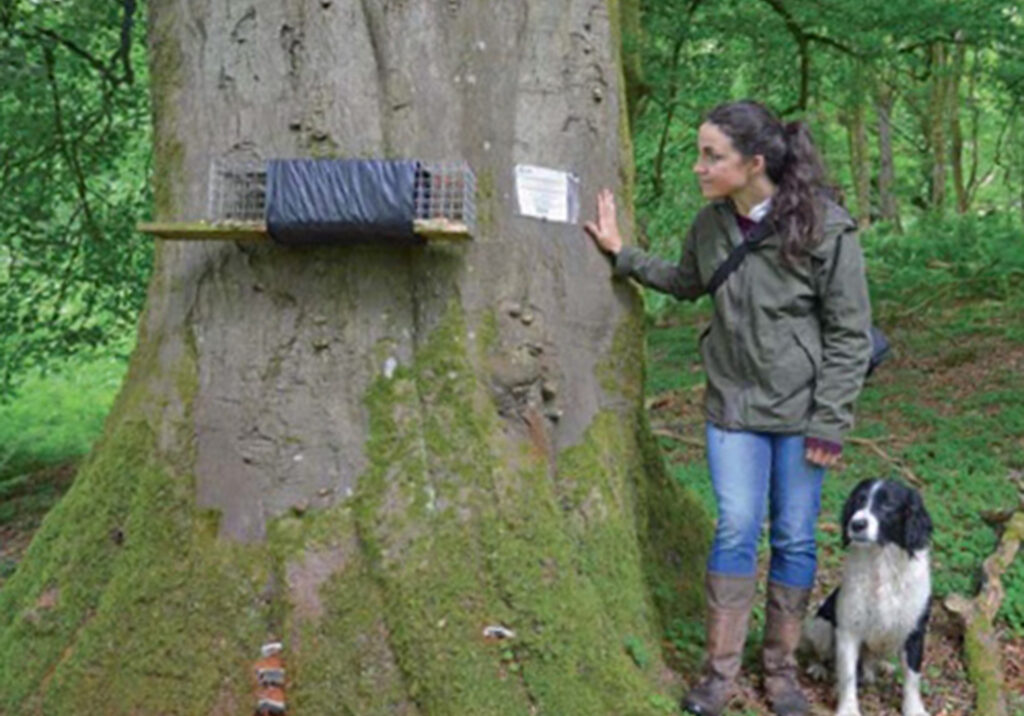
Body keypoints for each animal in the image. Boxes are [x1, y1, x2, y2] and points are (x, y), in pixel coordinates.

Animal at [798, 479, 937, 716]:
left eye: (888, 505)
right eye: (858, 500)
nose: (857, 524)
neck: (882, 564)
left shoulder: (915, 631)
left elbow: (912, 677)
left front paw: (913, 708)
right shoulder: (848, 631)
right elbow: (847, 676)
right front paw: (848, 709)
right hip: (822, 626)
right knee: (820, 653)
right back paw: (818, 668)